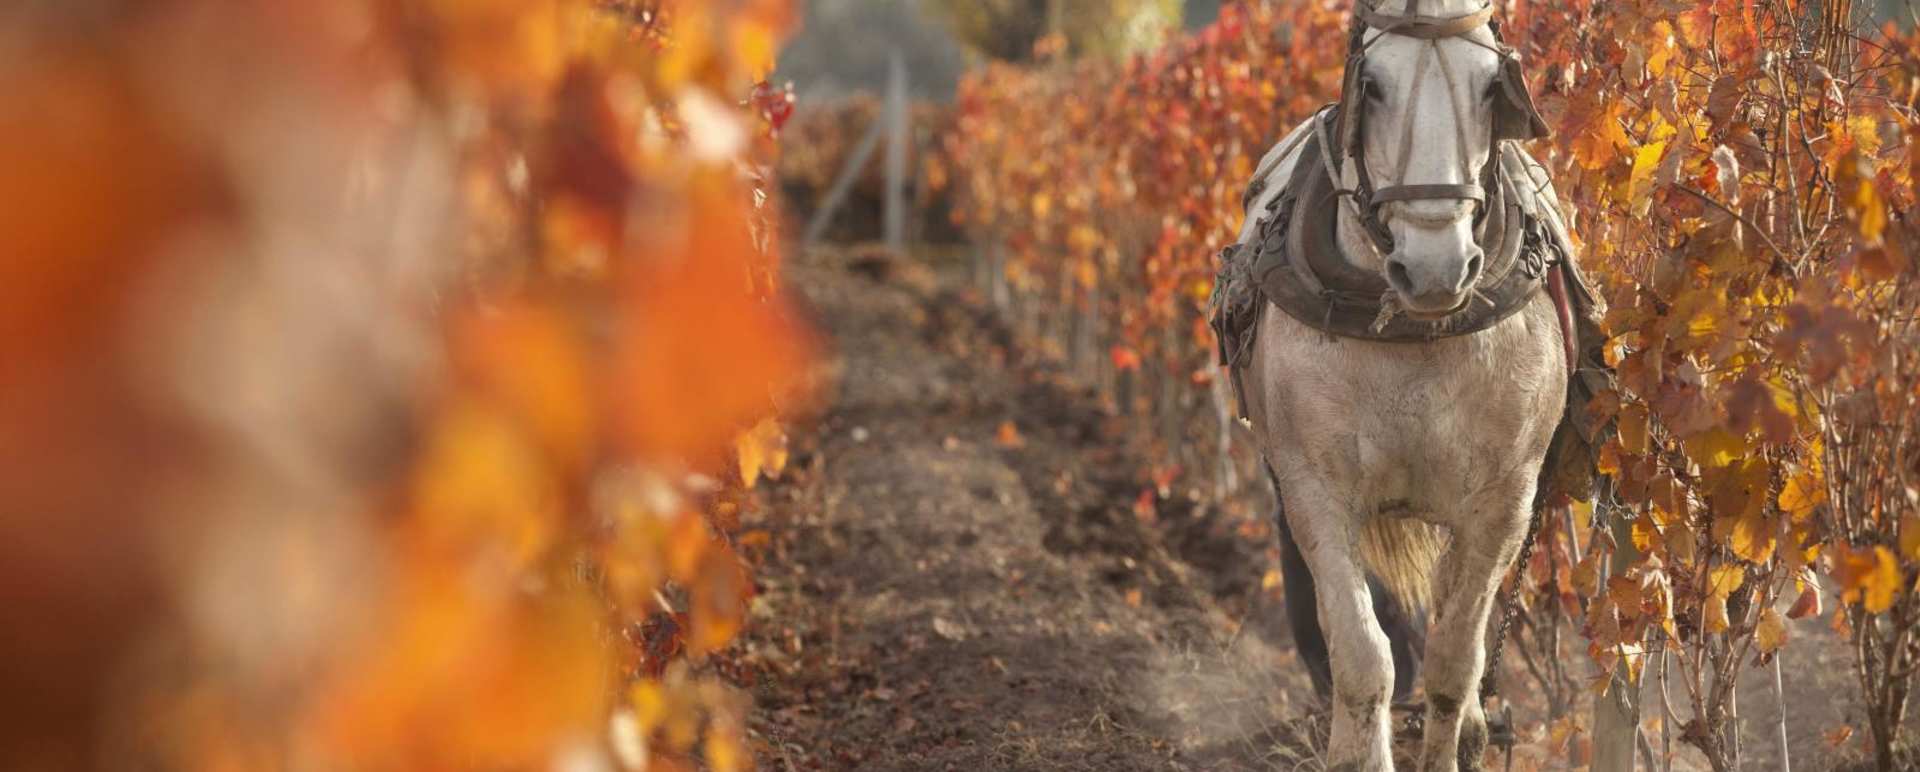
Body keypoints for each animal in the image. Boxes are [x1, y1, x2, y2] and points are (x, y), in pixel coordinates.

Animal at [1212, 0, 1606, 769]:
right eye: (1374, 86)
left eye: (1489, 86)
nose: (1435, 269)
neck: (1410, 331)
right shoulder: (1314, 490)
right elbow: (1365, 657)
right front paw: (1355, 747)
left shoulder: (1504, 503)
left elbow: (1454, 658)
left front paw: (1460, 733)